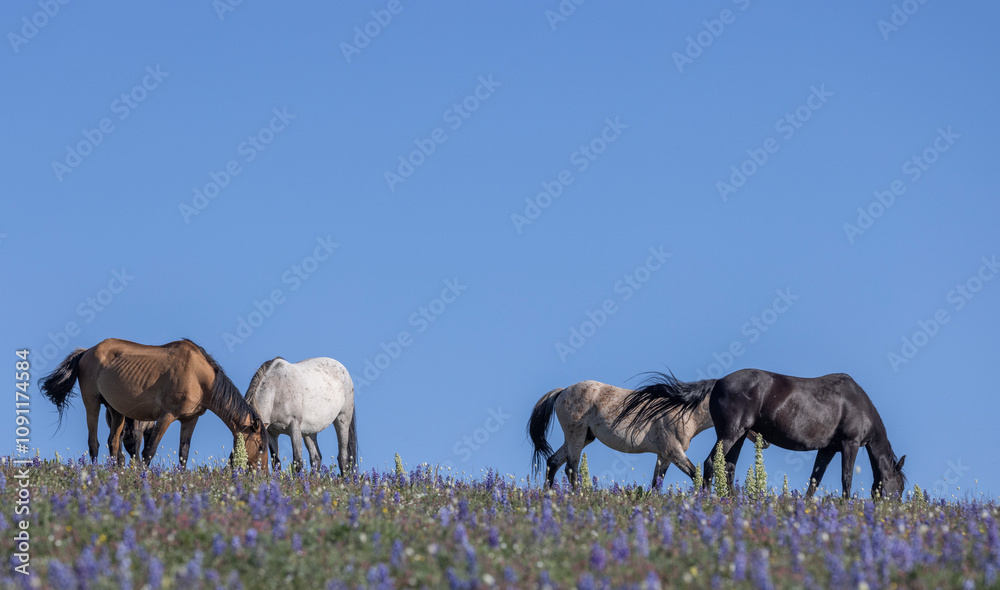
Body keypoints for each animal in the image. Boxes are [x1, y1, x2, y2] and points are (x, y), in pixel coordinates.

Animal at [40, 338, 270, 471]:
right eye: (260, 446)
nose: (263, 474)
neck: (198, 377)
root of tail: (86, 351)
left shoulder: (190, 419)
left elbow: (183, 454)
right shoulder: (166, 416)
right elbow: (148, 451)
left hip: (116, 410)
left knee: (113, 443)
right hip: (92, 403)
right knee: (93, 443)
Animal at [527, 380, 766, 489]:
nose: (764, 442)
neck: (684, 411)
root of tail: (562, 391)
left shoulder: (664, 456)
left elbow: (656, 483)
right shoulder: (674, 452)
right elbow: (694, 475)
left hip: (583, 437)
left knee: (553, 462)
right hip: (576, 437)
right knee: (571, 469)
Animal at [618, 370, 906, 499]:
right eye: (900, 487)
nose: (894, 508)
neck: (857, 403)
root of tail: (718, 382)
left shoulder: (827, 449)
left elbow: (815, 480)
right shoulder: (850, 444)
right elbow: (846, 479)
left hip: (739, 436)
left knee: (728, 467)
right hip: (730, 434)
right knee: (711, 464)